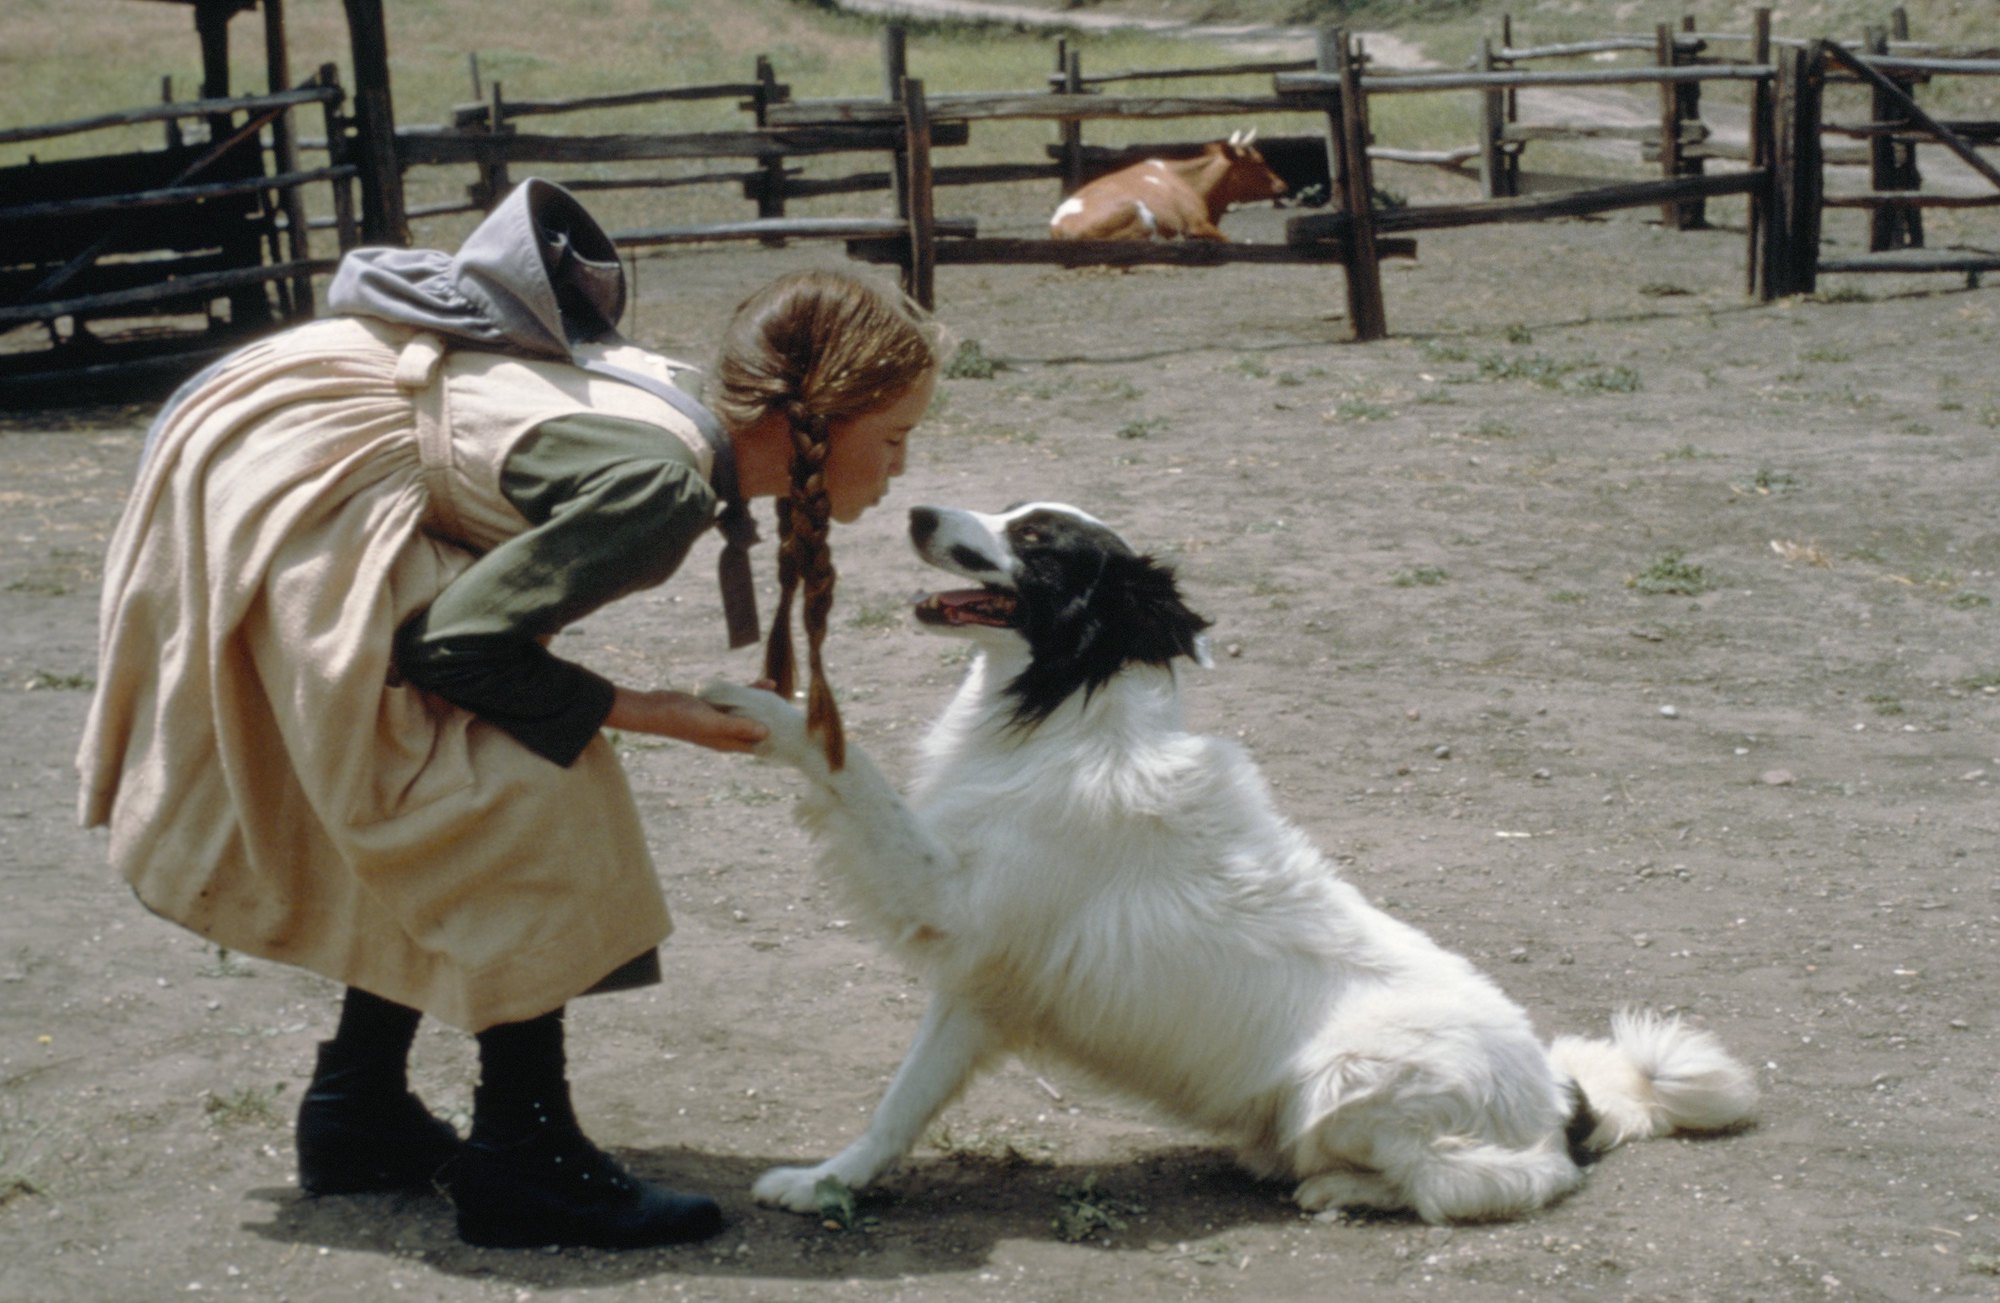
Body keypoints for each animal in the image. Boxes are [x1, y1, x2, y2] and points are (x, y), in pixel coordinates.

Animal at [704, 501, 1752, 1223]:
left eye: (1035, 539)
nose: (918, 511)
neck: (1066, 711)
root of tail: (1563, 1097)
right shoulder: (976, 989)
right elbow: (899, 1104)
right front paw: (824, 1183)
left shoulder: (953, 903)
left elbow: (848, 766)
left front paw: (764, 707)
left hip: (1352, 1076)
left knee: (1492, 1179)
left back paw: (1337, 1188)